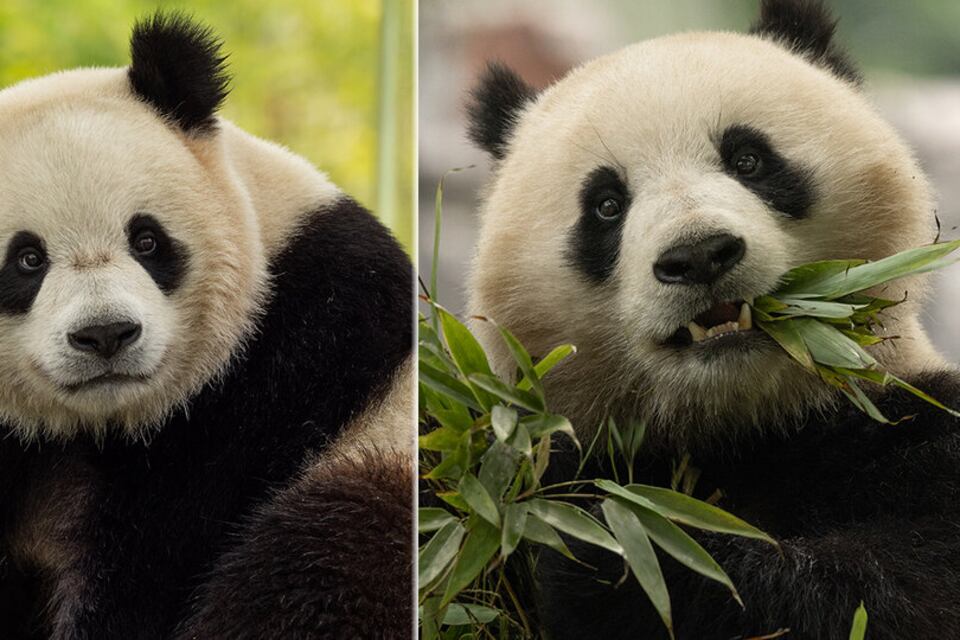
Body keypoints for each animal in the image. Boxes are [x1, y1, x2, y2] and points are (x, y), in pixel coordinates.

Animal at [0, 13, 413, 640]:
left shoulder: (283, 372)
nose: (105, 335)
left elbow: (153, 561)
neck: (98, 426)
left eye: (147, 240)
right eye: (26, 259)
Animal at [465, 1, 960, 638]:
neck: (740, 424)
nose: (699, 254)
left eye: (748, 159)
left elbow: (886, 596)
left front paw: (619, 550)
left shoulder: (912, 434)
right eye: (606, 205)